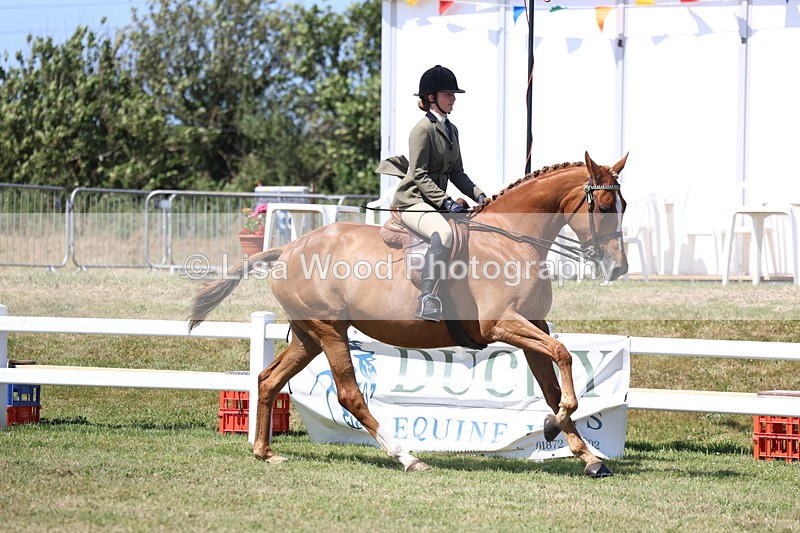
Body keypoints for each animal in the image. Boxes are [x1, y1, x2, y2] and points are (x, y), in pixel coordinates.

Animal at [190, 151, 629, 477]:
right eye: (605, 206)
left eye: (622, 205)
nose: (619, 268)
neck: (512, 240)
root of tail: (289, 247)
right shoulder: (503, 324)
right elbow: (564, 354)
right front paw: (557, 427)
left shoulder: (532, 325)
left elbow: (553, 384)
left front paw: (585, 454)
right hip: (329, 331)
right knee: (350, 395)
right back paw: (407, 456)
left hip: (308, 335)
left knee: (268, 379)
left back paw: (265, 452)